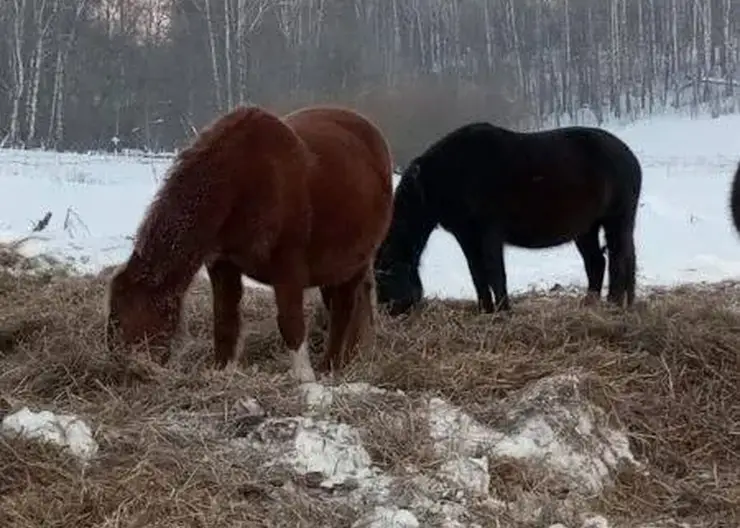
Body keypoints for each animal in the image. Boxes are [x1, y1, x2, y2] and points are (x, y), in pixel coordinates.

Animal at [105, 105, 394, 382]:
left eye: (128, 319)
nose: (122, 370)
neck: (243, 179)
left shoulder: (288, 269)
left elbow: (290, 323)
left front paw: (306, 380)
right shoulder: (222, 265)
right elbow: (225, 321)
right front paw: (222, 371)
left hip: (353, 265)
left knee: (343, 312)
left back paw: (331, 366)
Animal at [376, 121, 640, 316]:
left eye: (384, 278)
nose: (387, 312)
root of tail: (629, 155)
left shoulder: (489, 232)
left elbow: (495, 272)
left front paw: (503, 311)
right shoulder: (466, 235)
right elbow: (477, 273)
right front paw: (486, 311)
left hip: (616, 221)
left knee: (617, 261)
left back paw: (613, 304)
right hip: (586, 229)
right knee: (597, 262)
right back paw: (592, 305)